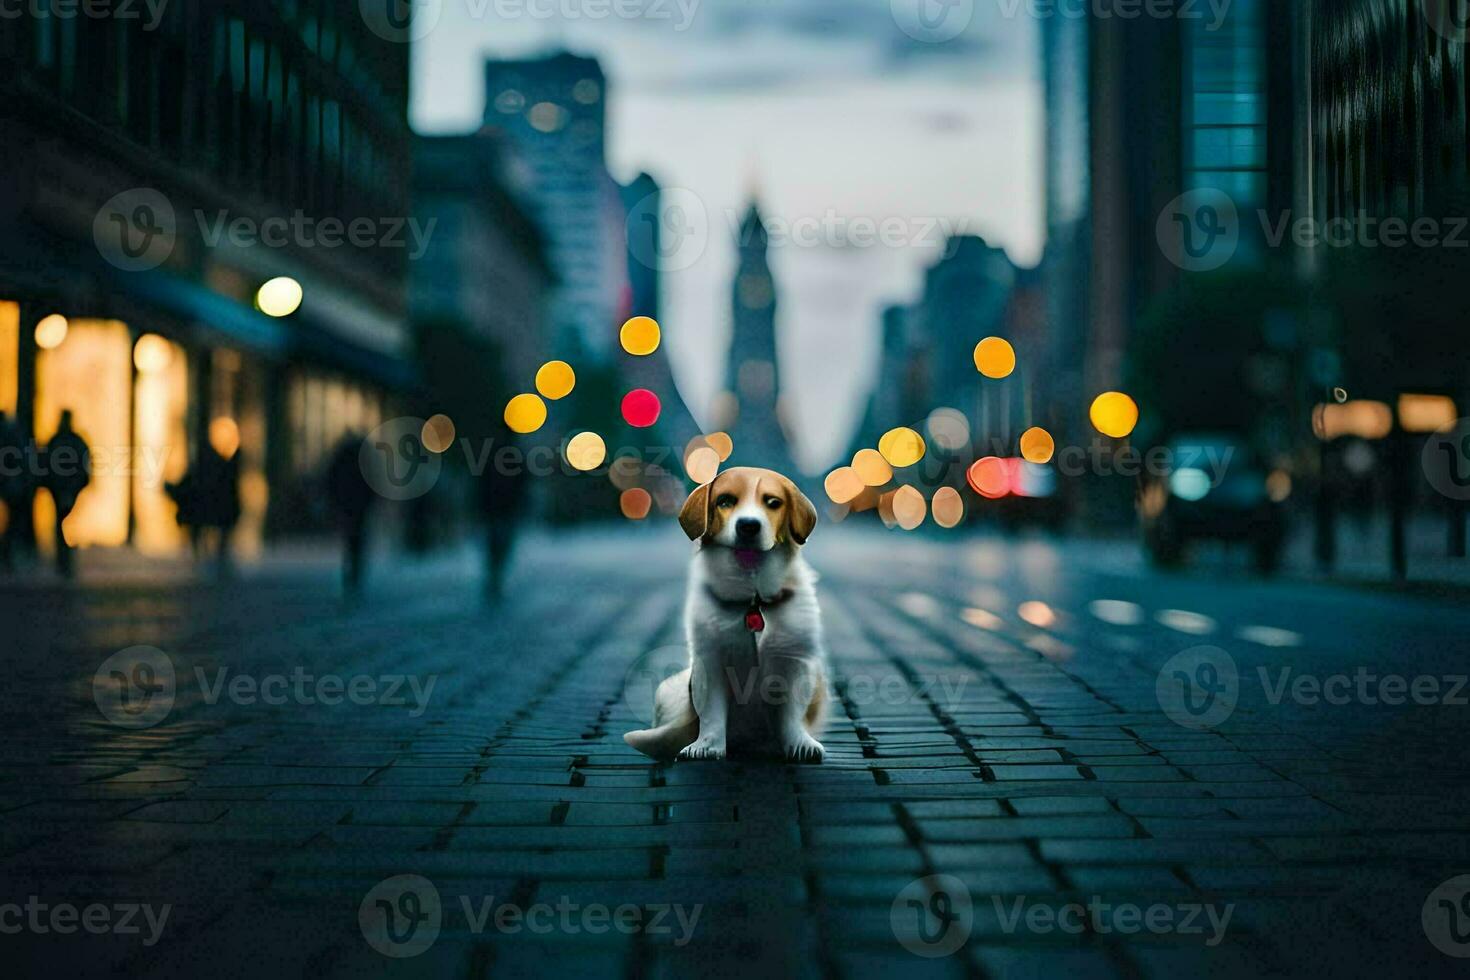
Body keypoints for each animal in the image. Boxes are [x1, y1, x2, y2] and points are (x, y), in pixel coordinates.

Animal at [620, 470, 829, 764]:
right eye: (725, 501)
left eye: (773, 502)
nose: (748, 526)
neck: (752, 595)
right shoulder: (709, 659)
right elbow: (711, 712)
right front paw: (707, 746)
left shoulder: (795, 660)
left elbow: (791, 714)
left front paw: (799, 743)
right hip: (668, 689)